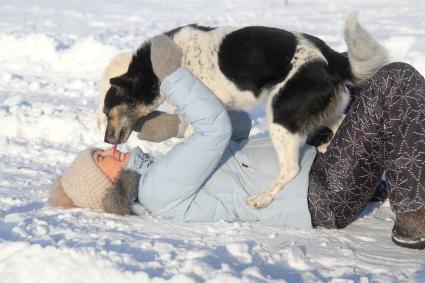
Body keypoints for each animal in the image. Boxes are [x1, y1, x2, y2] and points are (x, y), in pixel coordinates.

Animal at [101, 12, 386, 210]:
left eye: (107, 111)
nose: (105, 139)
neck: (155, 68)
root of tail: (332, 56)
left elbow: (191, 130)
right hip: (325, 110)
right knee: (343, 123)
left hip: (281, 117)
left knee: (290, 169)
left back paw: (263, 199)